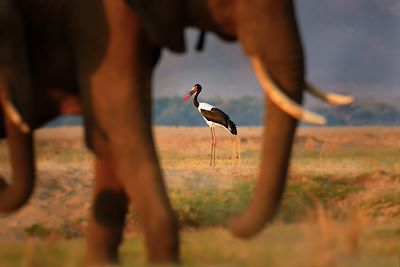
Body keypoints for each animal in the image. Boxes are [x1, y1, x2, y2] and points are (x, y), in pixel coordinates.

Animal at [0, 0, 352, 266]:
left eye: (195, 89)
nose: (189, 94)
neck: (200, 105)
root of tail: (232, 122)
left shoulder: (210, 123)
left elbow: (211, 140)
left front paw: (211, 164)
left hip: (226, 125)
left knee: (227, 133)